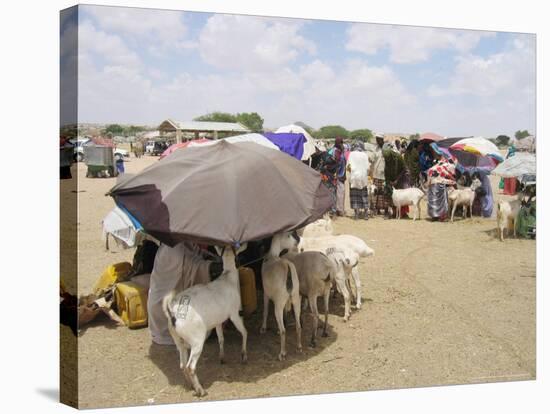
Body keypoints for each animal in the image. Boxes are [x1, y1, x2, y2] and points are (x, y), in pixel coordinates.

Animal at [163, 244, 249, 396]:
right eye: (238, 253)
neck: (228, 278)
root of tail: (172, 311)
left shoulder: (218, 321)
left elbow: (221, 338)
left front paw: (222, 358)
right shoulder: (234, 313)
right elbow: (244, 331)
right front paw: (243, 356)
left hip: (178, 340)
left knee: (182, 365)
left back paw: (191, 386)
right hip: (197, 339)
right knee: (190, 366)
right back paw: (201, 391)